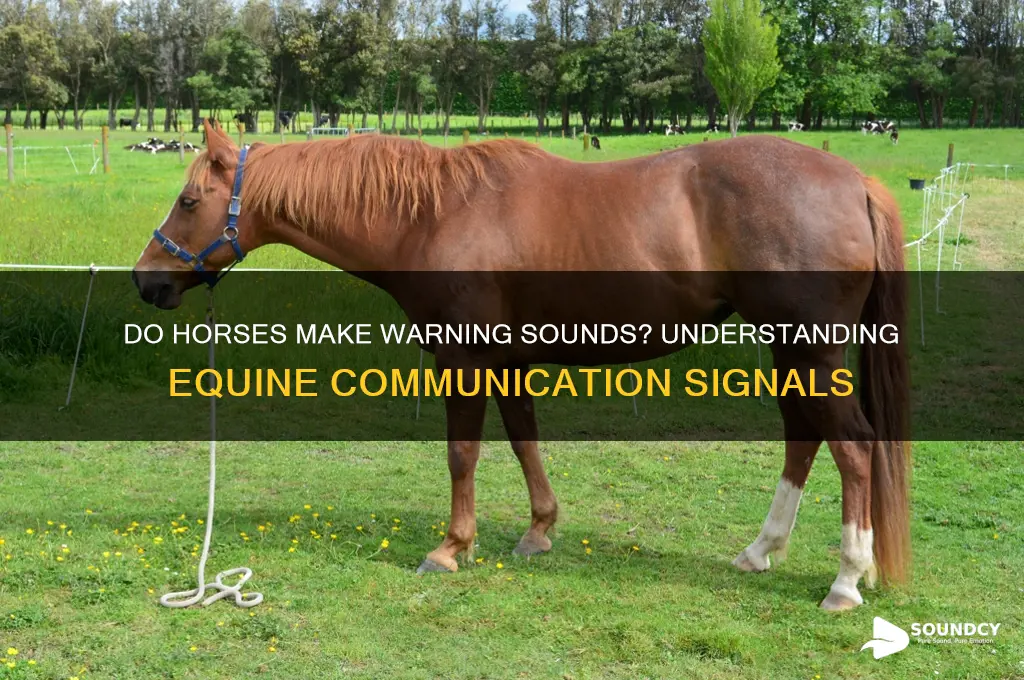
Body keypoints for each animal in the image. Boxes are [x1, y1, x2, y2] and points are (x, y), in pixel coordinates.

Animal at [133, 119, 911, 611]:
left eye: (190, 199)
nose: (147, 281)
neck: (431, 214)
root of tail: (856, 180)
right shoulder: (506, 361)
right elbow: (524, 441)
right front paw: (539, 531)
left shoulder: (464, 358)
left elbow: (463, 453)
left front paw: (452, 547)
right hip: (790, 347)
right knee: (804, 439)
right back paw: (761, 551)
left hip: (809, 347)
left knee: (853, 447)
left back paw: (846, 581)